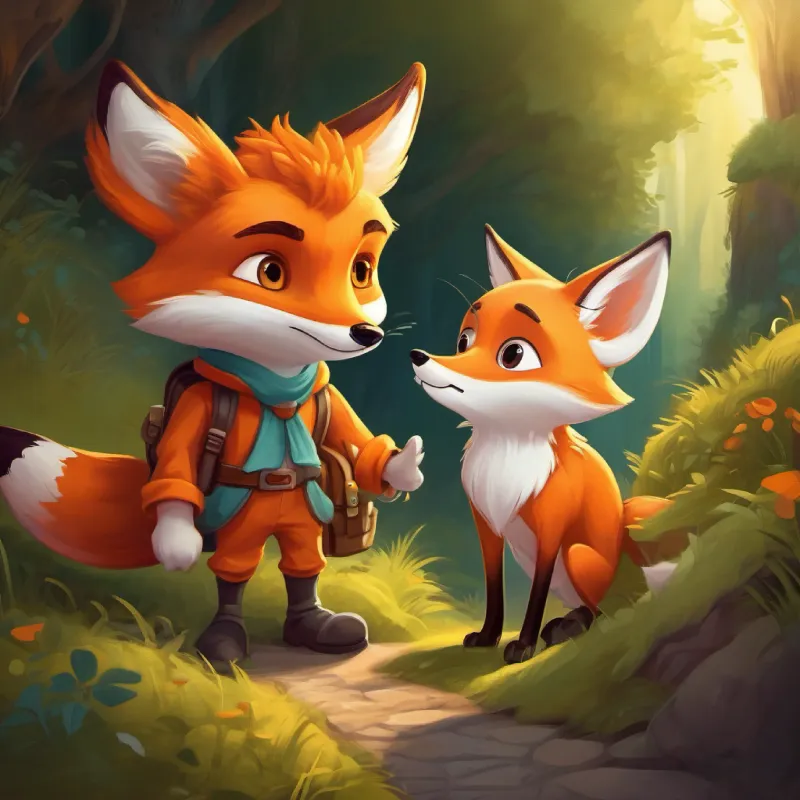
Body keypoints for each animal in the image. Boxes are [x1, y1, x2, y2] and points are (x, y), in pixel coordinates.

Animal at [0, 60, 428, 665]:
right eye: (269, 271)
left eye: (360, 271)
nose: (363, 331)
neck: (276, 390)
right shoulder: (200, 414)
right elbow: (180, 483)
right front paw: (180, 551)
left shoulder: (327, 405)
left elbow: (361, 449)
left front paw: (403, 465)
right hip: (244, 525)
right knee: (236, 566)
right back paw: (225, 640)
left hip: (302, 518)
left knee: (303, 560)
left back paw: (317, 627)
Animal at [409, 225, 683, 664]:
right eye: (464, 341)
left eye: (514, 354)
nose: (419, 357)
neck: (507, 457)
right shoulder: (486, 523)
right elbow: (494, 588)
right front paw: (488, 636)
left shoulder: (552, 529)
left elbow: (535, 596)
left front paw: (522, 645)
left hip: (579, 558)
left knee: (608, 610)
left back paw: (569, 627)